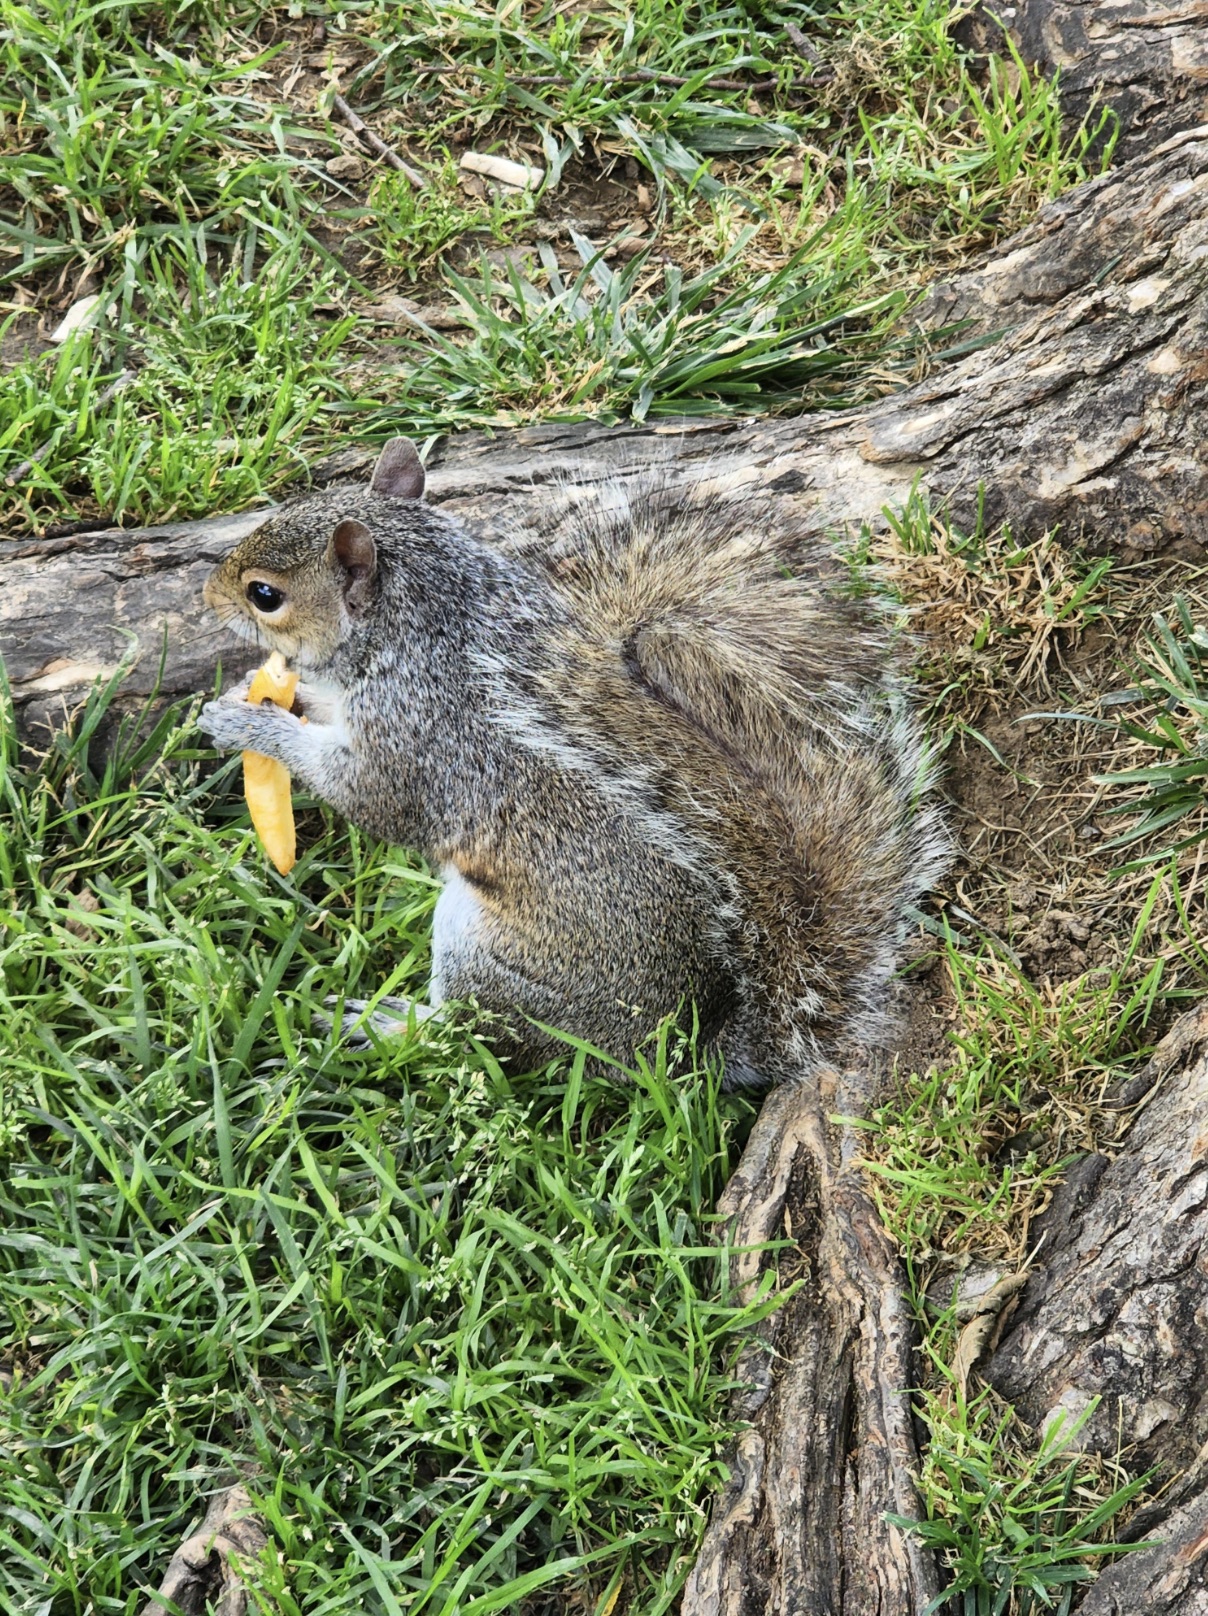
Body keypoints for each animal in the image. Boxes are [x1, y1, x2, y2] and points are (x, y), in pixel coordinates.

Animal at [197, 439, 949, 1085]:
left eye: (265, 594)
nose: (206, 595)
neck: (423, 633)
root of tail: (672, 1050)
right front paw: (250, 695)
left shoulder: (423, 742)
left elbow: (371, 798)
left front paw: (247, 724)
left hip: (492, 959)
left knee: (479, 1039)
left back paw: (387, 1029)